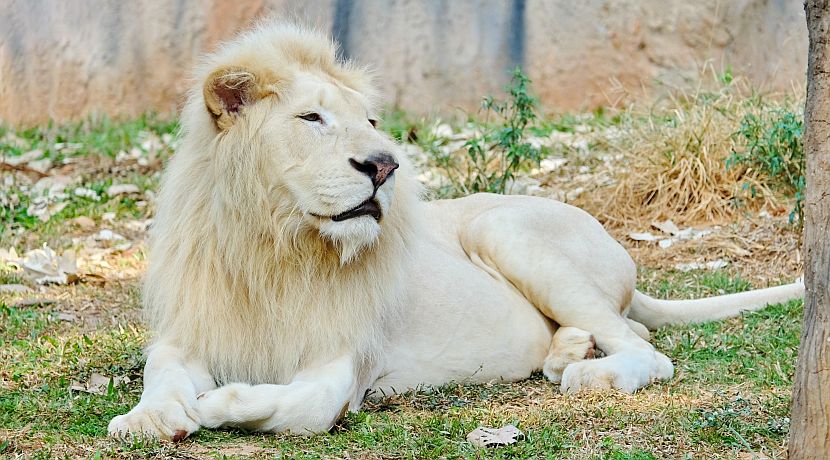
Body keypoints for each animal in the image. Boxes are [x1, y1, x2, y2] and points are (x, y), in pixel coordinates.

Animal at [108, 22, 804, 440]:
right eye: (311, 118)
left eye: (371, 121)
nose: (384, 165)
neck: (275, 247)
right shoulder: (189, 330)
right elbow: (161, 375)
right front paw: (148, 418)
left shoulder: (343, 362)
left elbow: (299, 408)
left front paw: (213, 406)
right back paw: (566, 352)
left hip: (504, 228)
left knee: (648, 350)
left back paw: (590, 373)